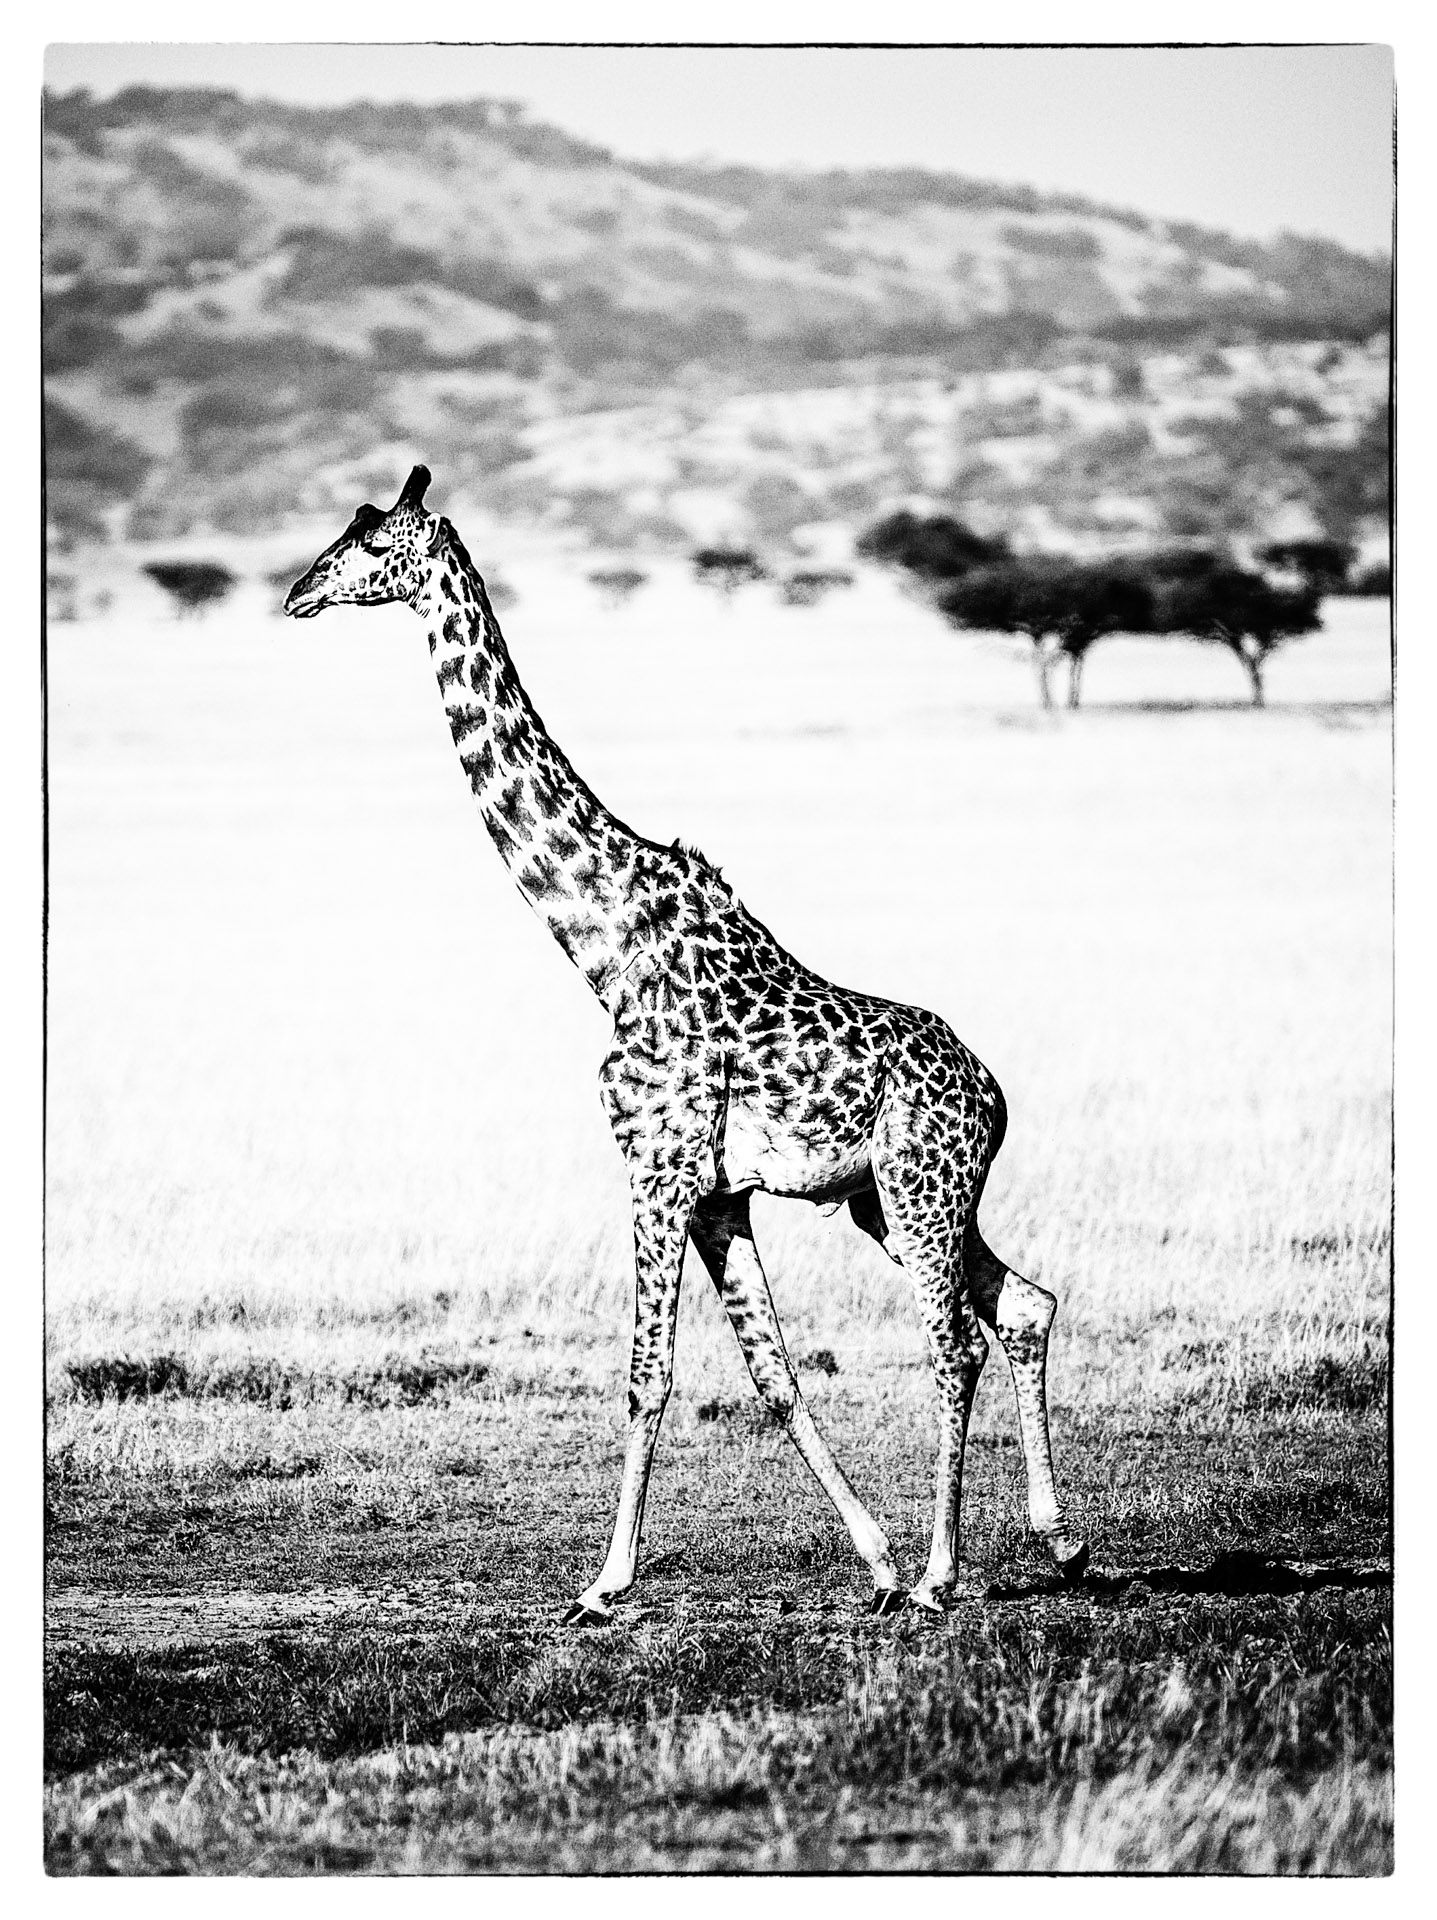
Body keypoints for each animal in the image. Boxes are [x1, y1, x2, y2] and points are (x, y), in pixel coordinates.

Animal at [284, 466, 1088, 1621]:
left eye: (367, 542)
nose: (296, 591)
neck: (604, 941)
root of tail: (993, 1093)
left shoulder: (656, 1169)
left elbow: (646, 1375)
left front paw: (602, 1584)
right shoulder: (718, 1196)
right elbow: (774, 1375)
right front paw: (874, 1562)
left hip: (919, 1187)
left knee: (951, 1341)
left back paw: (945, 1575)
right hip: (887, 1199)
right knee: (1022, 1303)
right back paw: (1056, 1543)